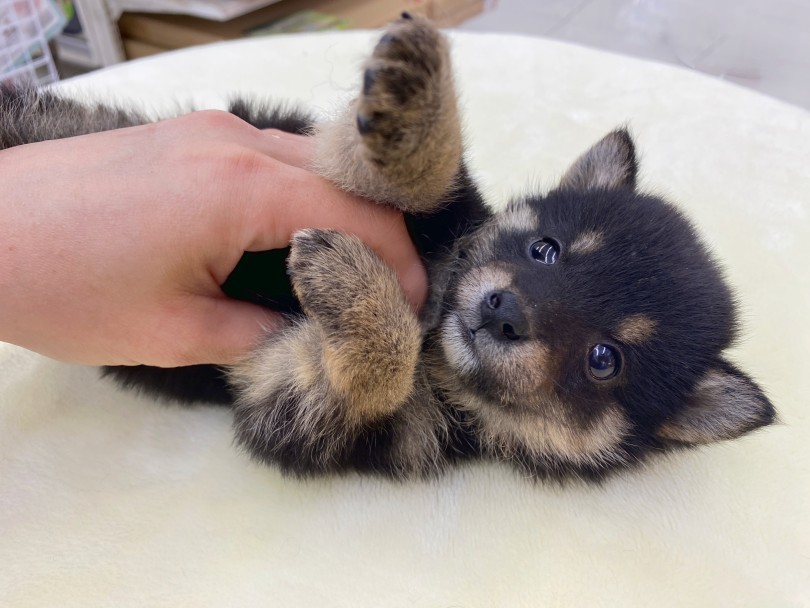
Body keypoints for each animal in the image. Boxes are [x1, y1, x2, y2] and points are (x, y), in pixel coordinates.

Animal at [0, 15, 772, 480]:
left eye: (604, 359)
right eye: (547, 250)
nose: (505, 311)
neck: (436, 340)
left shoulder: (289, 404)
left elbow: (374, 368)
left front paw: (346, 285)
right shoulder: (415, 204)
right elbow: (407, 176)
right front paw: (415, 99)